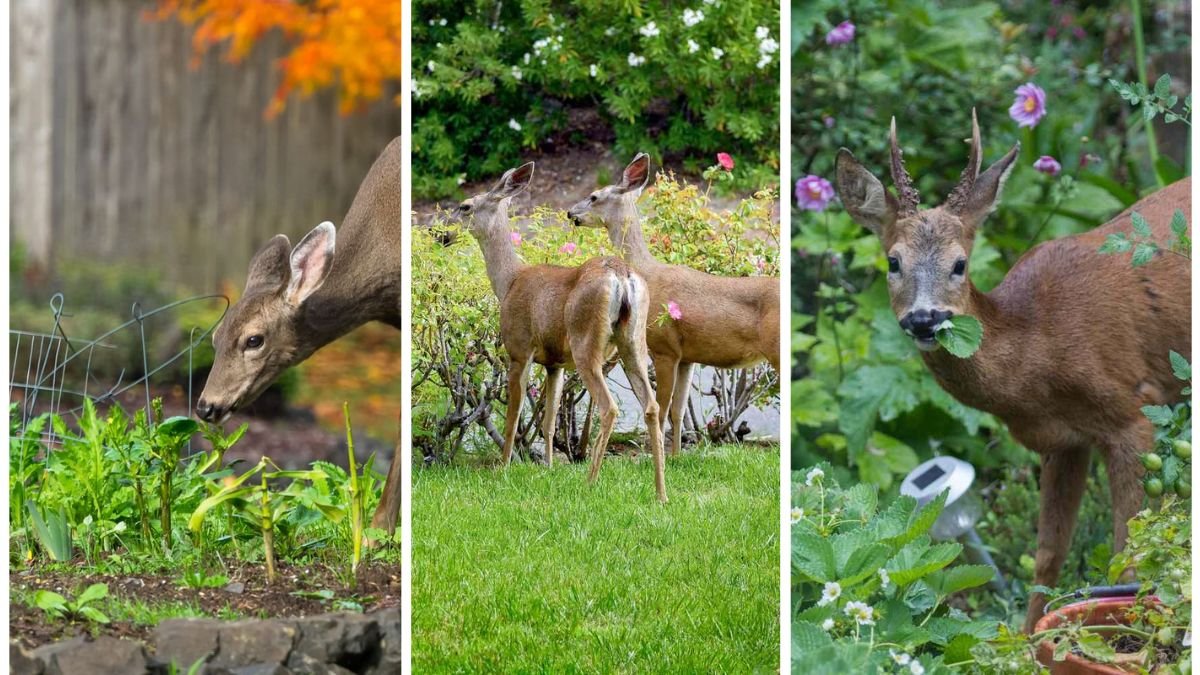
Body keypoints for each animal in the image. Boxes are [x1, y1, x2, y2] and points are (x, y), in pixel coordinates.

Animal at [443, 161, 667, 502]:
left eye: (465, 206)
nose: (441, 234)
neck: (508, 282)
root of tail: (622, 274)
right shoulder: (554, 363)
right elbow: (548, 421)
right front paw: (548, 467)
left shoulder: (519, 349)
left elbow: (513, 417)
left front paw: (503, 468)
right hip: (634, 340)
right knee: (652, 406)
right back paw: (661, 493)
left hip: (586, 341)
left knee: (609, 407)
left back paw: (590, 483)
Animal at [566, 154, 780, 456]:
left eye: (594, 196)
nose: (570, 213)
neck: (648, 273)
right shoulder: (687, 356)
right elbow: (678, 411)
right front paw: (678, 455)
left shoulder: (664, 346)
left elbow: (662, 408)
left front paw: (659, 456)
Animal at [835, 110, 1190, 632]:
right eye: (893, 261)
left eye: (960, 264)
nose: (924, 319)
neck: (1038, 349)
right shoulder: (1062, 441)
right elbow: (1047, 555)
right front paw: (1028, 638)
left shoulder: (1133, 414)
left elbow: (1127, 554)